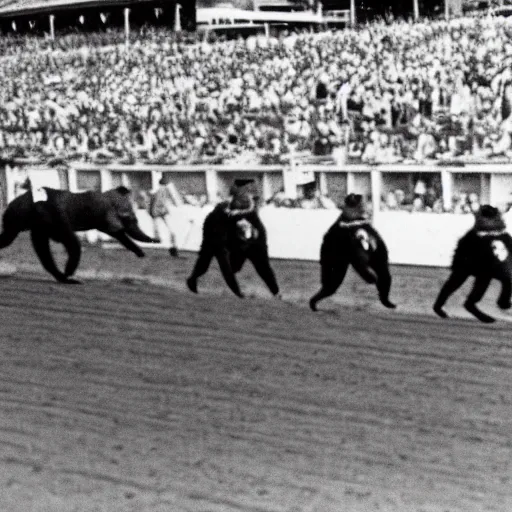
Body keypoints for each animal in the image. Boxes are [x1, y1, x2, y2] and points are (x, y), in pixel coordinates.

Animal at [0, 183, 158, 284]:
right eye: (128, 218)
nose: (156, 240)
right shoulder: (60, 217)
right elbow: (73, 243)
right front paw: (69, 273)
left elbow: (119, 234)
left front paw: (139, 251)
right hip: (21, 218)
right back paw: (68, 278)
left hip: (20, 222)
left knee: (36, 248)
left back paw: (63, 279)